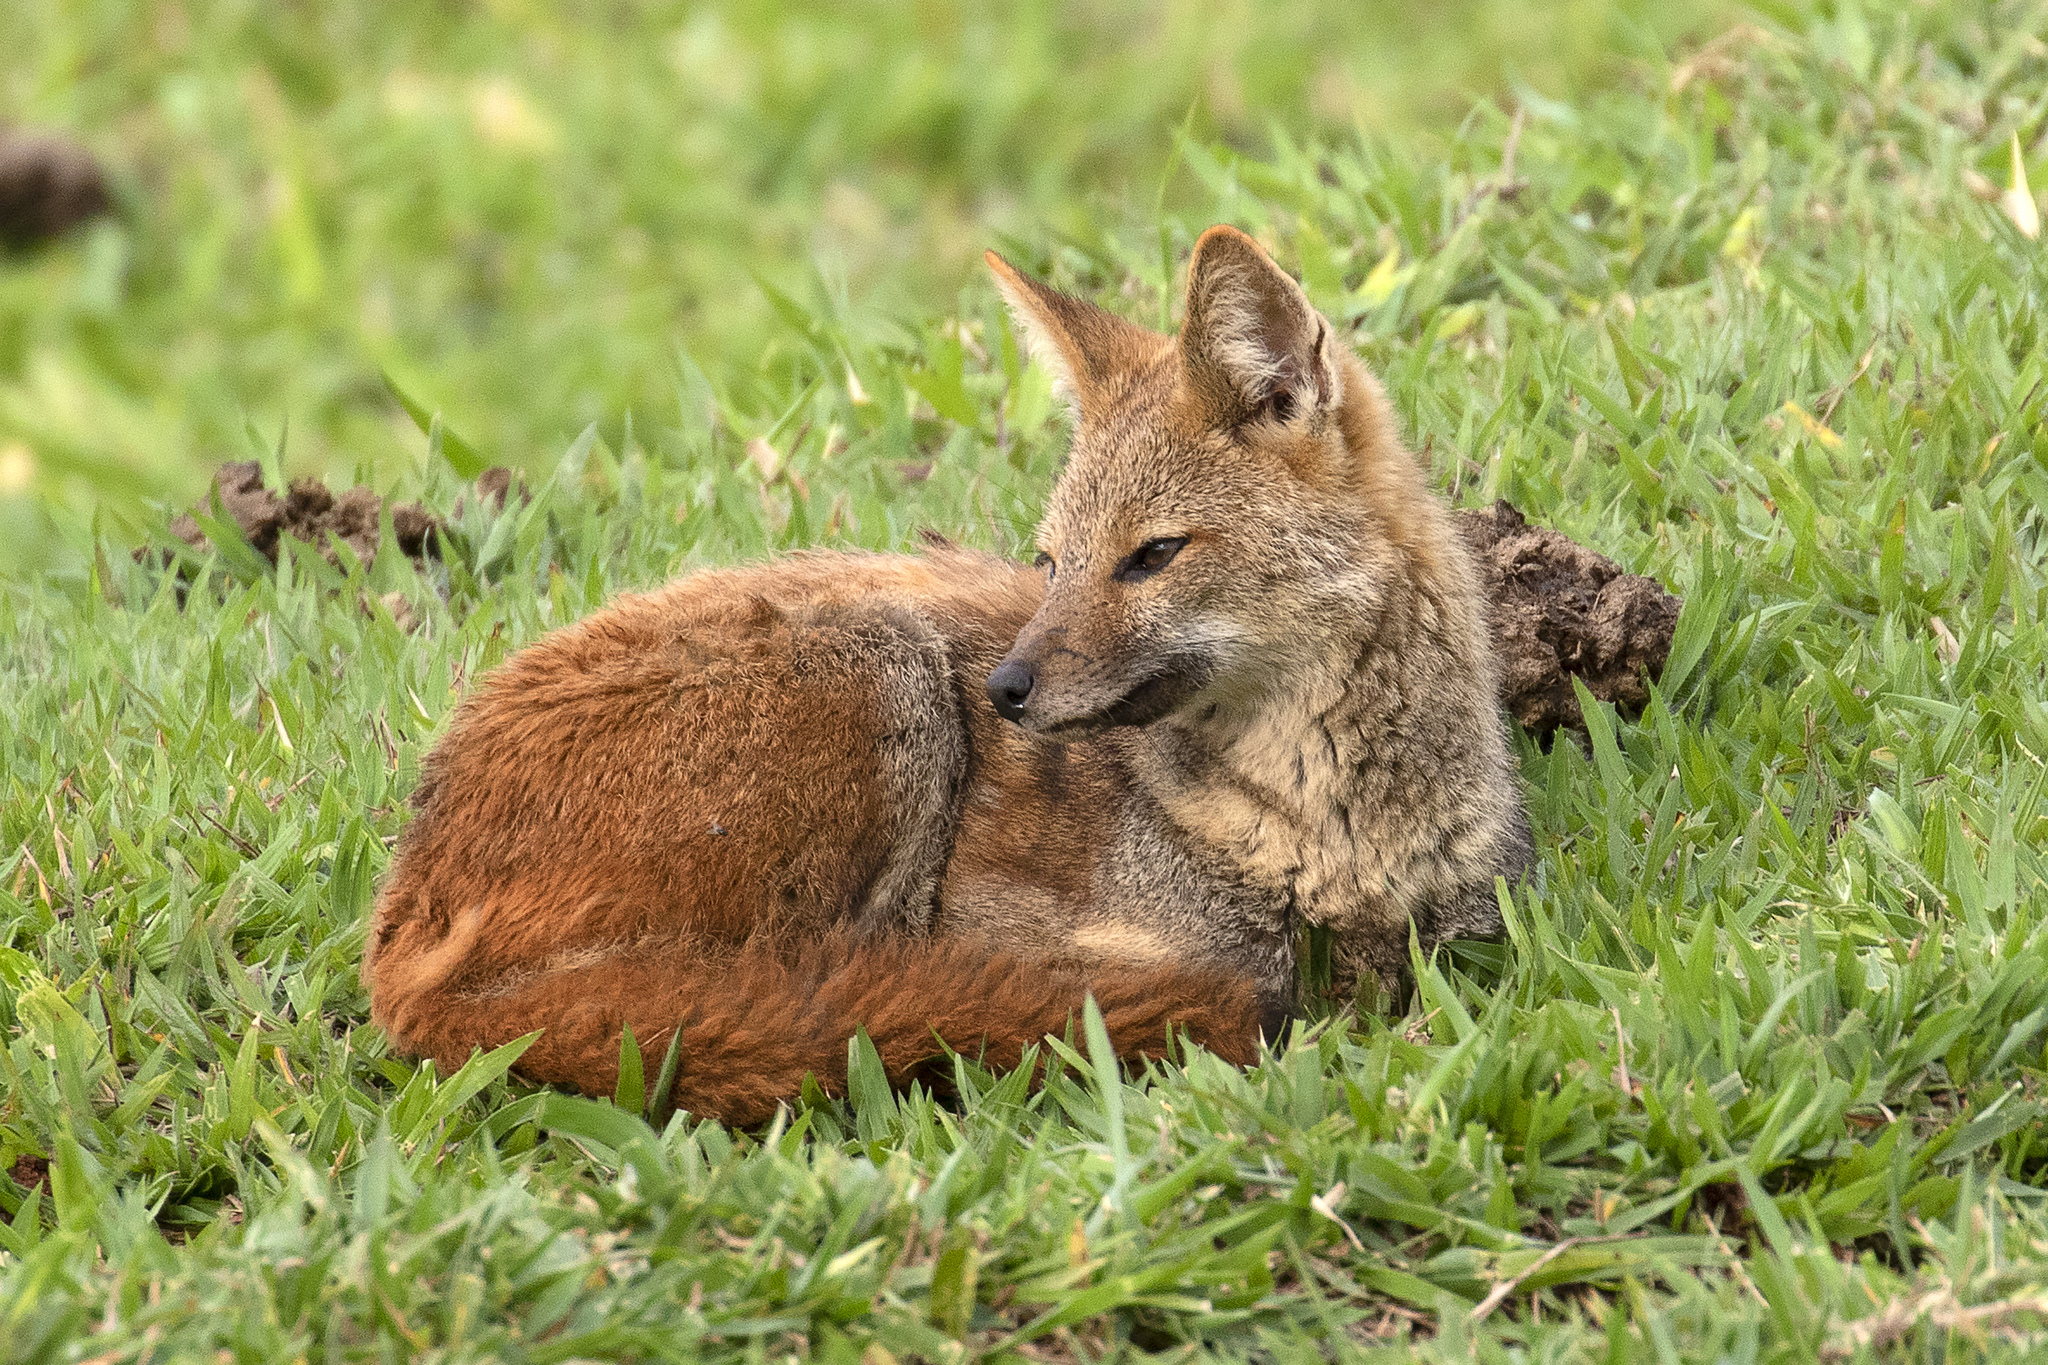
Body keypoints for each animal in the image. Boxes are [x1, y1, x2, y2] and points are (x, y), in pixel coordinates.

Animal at [364, 227, 1523, 1121]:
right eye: (1052, 562)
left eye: (1151, 555)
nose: (1005, 689)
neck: (1337, 832)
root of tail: (400, 935)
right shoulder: (1023, 929)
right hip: (884, 680)